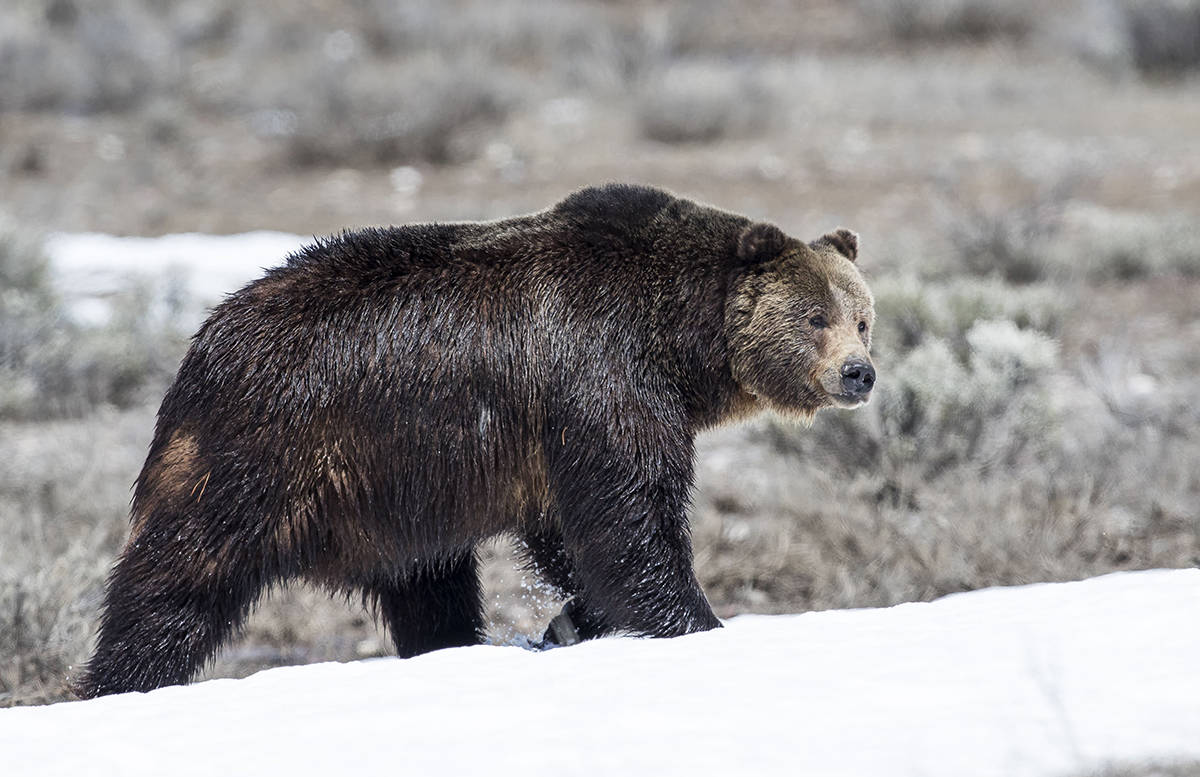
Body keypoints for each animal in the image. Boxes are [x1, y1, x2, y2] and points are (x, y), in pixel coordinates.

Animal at [77, 183, 883, 700]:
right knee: (178, 580)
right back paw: (118, 681)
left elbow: (571, 533)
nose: (859, 372)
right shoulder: (600, 376)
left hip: (392, 494)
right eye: (812, 315)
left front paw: (570, 620)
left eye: (862, 316)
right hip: (264, 449)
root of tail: (202, 341)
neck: (679, 342)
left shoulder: (568, 425)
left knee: (430, 584)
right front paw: (694, 620)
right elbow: (630, 520)